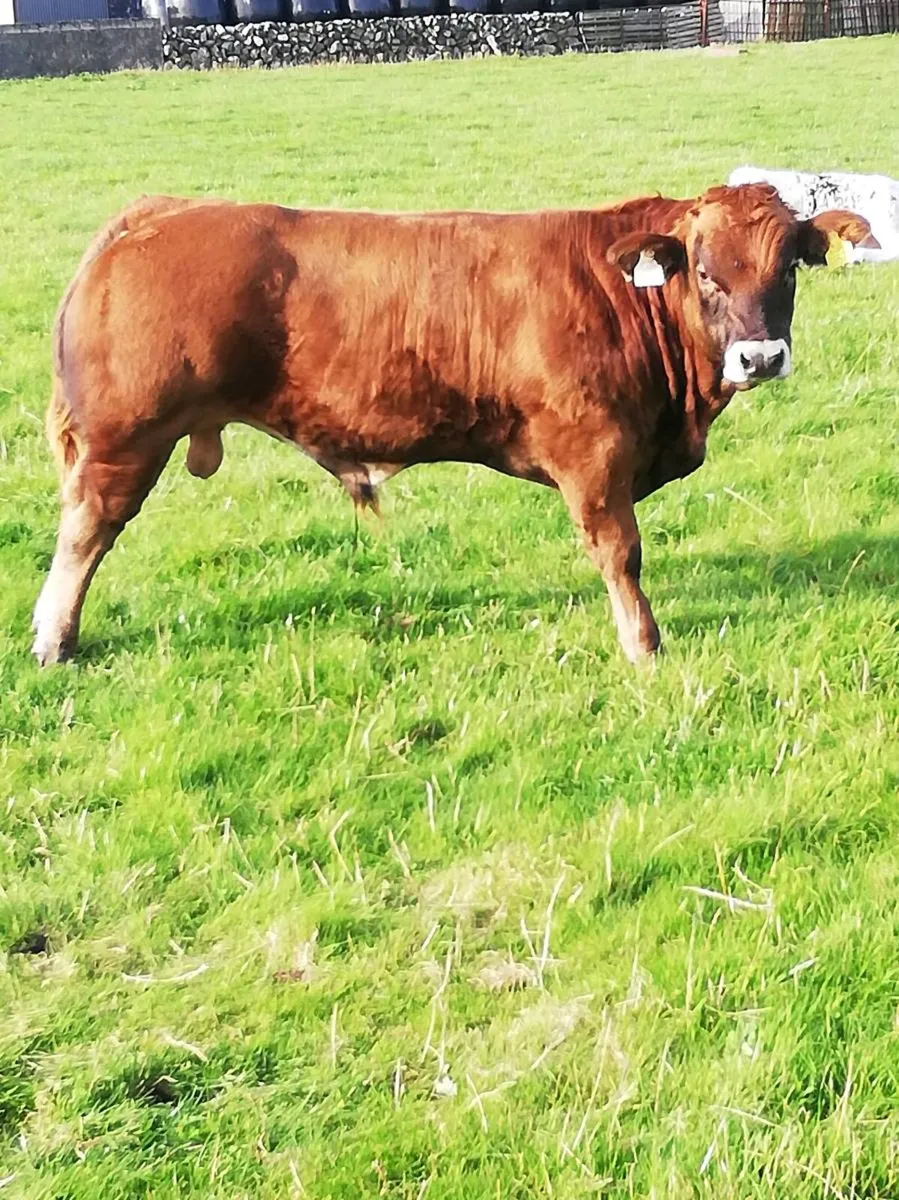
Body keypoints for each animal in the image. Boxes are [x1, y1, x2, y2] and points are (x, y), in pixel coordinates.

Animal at [32, 184, 877, 667]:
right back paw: (54, 641)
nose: (760, 357)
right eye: (704, 272)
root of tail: (159, 212)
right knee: (85, 534)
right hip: (125, 440)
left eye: (787, 268)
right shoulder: (593, 454)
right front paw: (642, 646)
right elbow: (621, 554)